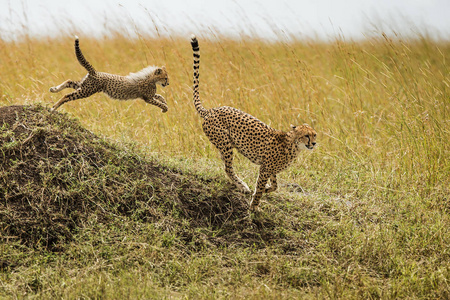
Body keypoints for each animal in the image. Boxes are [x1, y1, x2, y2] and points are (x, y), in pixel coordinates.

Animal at [190, 34, 316, 210]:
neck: (293, 145)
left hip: (224, 144)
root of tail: (212, 110)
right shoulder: (265, 168)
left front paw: (267, 189)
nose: (314, 143)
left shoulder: (270, 168)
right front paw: (254, 206)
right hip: (225, 143)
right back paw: (242, 186)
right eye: (306, 136)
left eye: (315, 135)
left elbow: (274, 185)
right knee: (228, 167)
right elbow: (261, 187)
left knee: (225, 165)